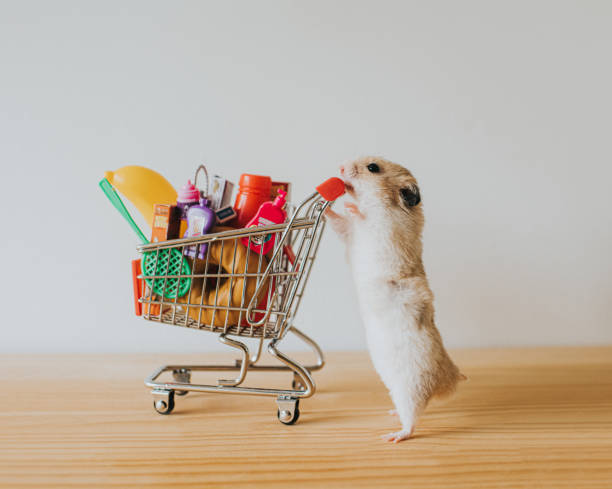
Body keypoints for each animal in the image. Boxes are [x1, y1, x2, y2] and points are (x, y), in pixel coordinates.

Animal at [326, 156, 464, 442]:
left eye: (373, 168)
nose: (341, 167)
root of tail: (450, 378)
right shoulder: (348, 233)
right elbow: (338, 222)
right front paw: (329, 207)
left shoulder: (386, 231)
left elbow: (366, 218)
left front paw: (350, 206)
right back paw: (391, 414)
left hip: (411, 386)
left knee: (412, 418)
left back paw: (394, 436)